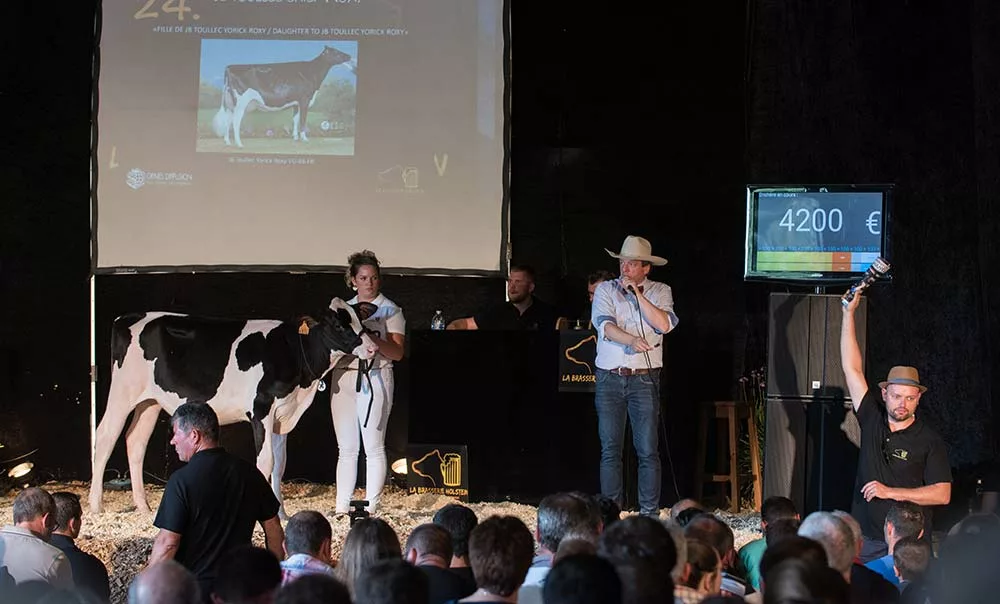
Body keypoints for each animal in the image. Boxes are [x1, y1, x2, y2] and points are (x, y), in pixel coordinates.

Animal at [90, 298, 376, 516]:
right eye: (339, 324)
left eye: (360, 321)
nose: (373, 348)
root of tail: (128, 316)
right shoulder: (261, 410)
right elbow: (266, 461)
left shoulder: (282, 415)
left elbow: (280, 465)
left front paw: (281, 513)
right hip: (122, 393)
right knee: (105, 436)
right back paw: (96, 506)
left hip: (149, 402)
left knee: (135, 441)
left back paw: (144, 507)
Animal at [210, 45, 352, 148]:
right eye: (336, 52)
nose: (349, 55)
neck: (312, 72)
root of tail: (230, 66)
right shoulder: (305, 100)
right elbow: (303, 121)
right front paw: (304, 138)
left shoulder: (296, 103)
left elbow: (295, 119)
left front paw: (295, 138)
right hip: (241, 102)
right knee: (235, 121)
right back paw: (239, 144)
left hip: (230, 103)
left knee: (228, 120)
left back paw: (228, 142)